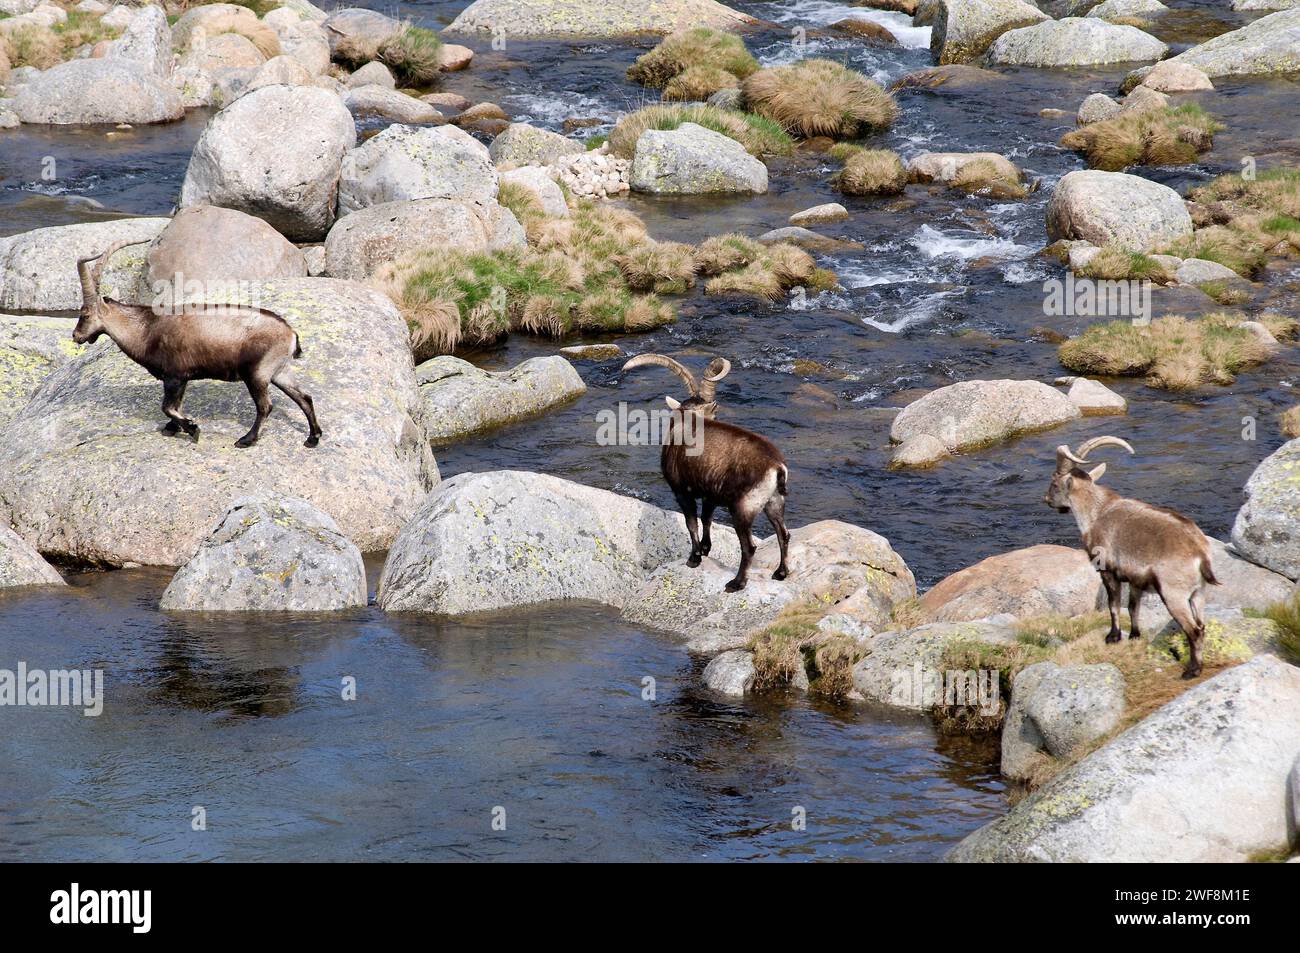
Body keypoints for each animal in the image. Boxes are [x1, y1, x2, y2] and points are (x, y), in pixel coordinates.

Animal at [71, 240, 321, 449]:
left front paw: (192, 429)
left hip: (256, 374)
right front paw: (173, 428)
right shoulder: (181, 379)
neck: (146, 329)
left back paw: (246, 440)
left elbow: (168, 407)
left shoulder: (174, 375)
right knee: (305, 397)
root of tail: (291, 334)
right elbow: (176, 406)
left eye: (84, 314)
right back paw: (313, 438)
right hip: (279, 371)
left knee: (266, 406)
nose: (76, 336)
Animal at [623, 353, 789, 592]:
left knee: (749, 546)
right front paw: (705, 548)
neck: (688, 422)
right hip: (774, 502)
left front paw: (694, 558)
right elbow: (707, 518)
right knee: (783, 534)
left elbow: (691, 522)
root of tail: (777, 467)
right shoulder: (711, 494)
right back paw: (780, 573)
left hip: (743, 508)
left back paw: (736, 583)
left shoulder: (682, 491)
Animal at [1044, 435, 1218, 679]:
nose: (1046, 499)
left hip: (1173, 594)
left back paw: (1192, 670)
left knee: (1194, 631)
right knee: (1202, 625)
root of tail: (1200, 554)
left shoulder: (1107, 571)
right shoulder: (1136, 580)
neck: (1097, 512)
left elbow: (1114, 605)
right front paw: (1135, 635)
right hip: (1198, 594)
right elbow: (1133, 607)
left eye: (1054, 483)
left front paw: (1113, 637)